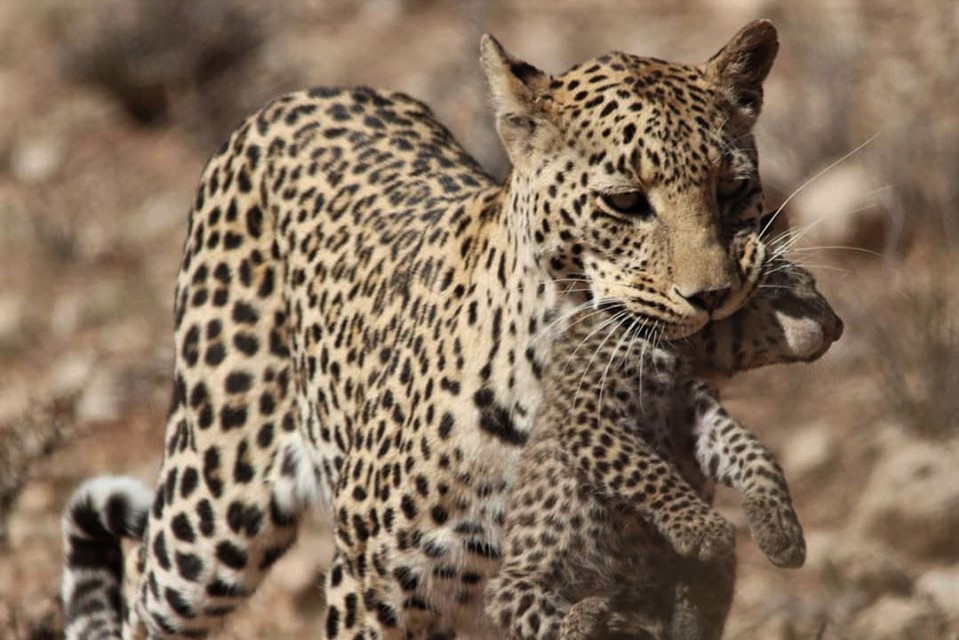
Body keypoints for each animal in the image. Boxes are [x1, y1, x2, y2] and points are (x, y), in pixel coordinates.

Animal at [63, 20, 796, 640]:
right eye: (625, 202)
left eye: (732, 189)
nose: (714, 297)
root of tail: (306, 93)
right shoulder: (375, 595)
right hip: (210, 513)